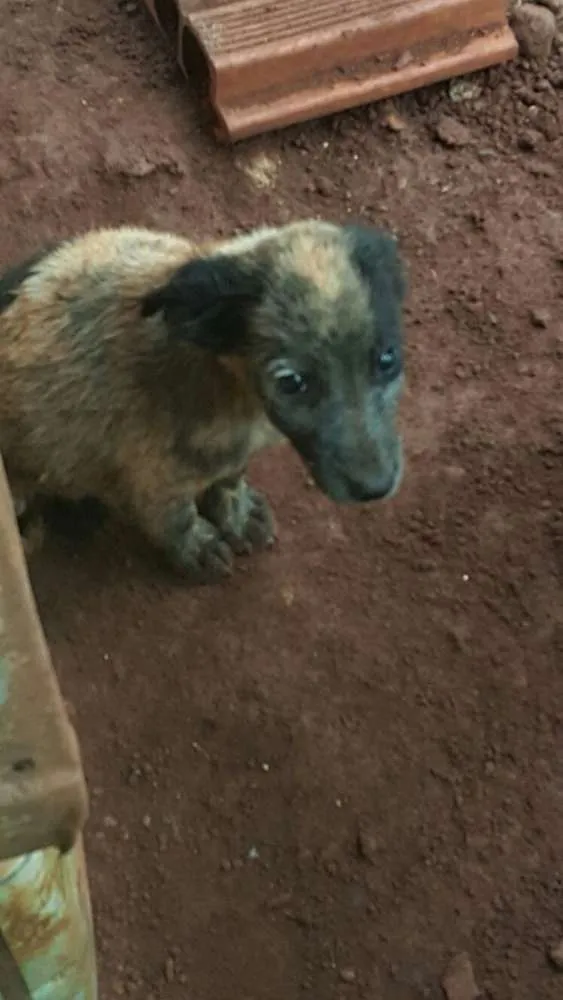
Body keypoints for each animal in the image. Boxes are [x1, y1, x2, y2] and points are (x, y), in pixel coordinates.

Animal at [0, 219, 406, 580]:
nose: (376, 489)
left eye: (388, 360)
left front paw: (236, 514)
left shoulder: (232, 453)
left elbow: (229, 477)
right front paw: (198, 546)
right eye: (291, 382)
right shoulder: (153, 477)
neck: (228, 386)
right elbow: (177, 518)